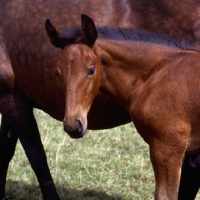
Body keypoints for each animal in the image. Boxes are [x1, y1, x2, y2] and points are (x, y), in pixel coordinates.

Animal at [0, 0, 200, 199]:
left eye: (91, 70)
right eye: (58, 73)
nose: (73, 125)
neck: (159, 72)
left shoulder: (167, 149)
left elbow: (36, 157)